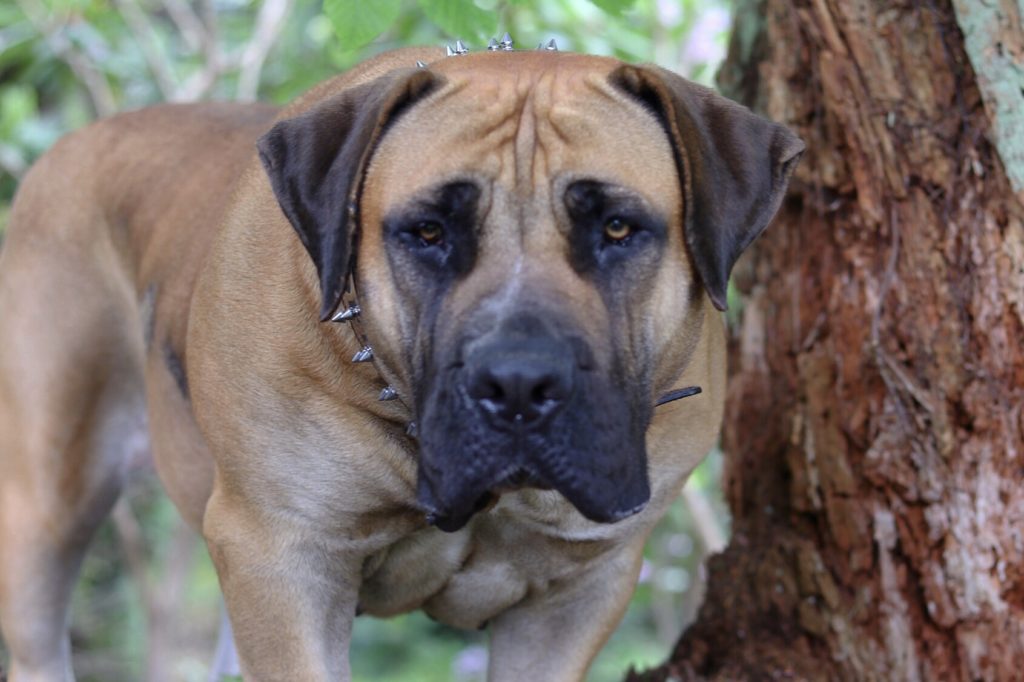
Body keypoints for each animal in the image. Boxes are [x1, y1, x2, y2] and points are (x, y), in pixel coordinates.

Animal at [0, 39, 798, 675]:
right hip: (46, 517)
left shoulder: (578, 592)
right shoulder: (281, 557)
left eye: (619, 227)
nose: (517, 382)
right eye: (428, 231)